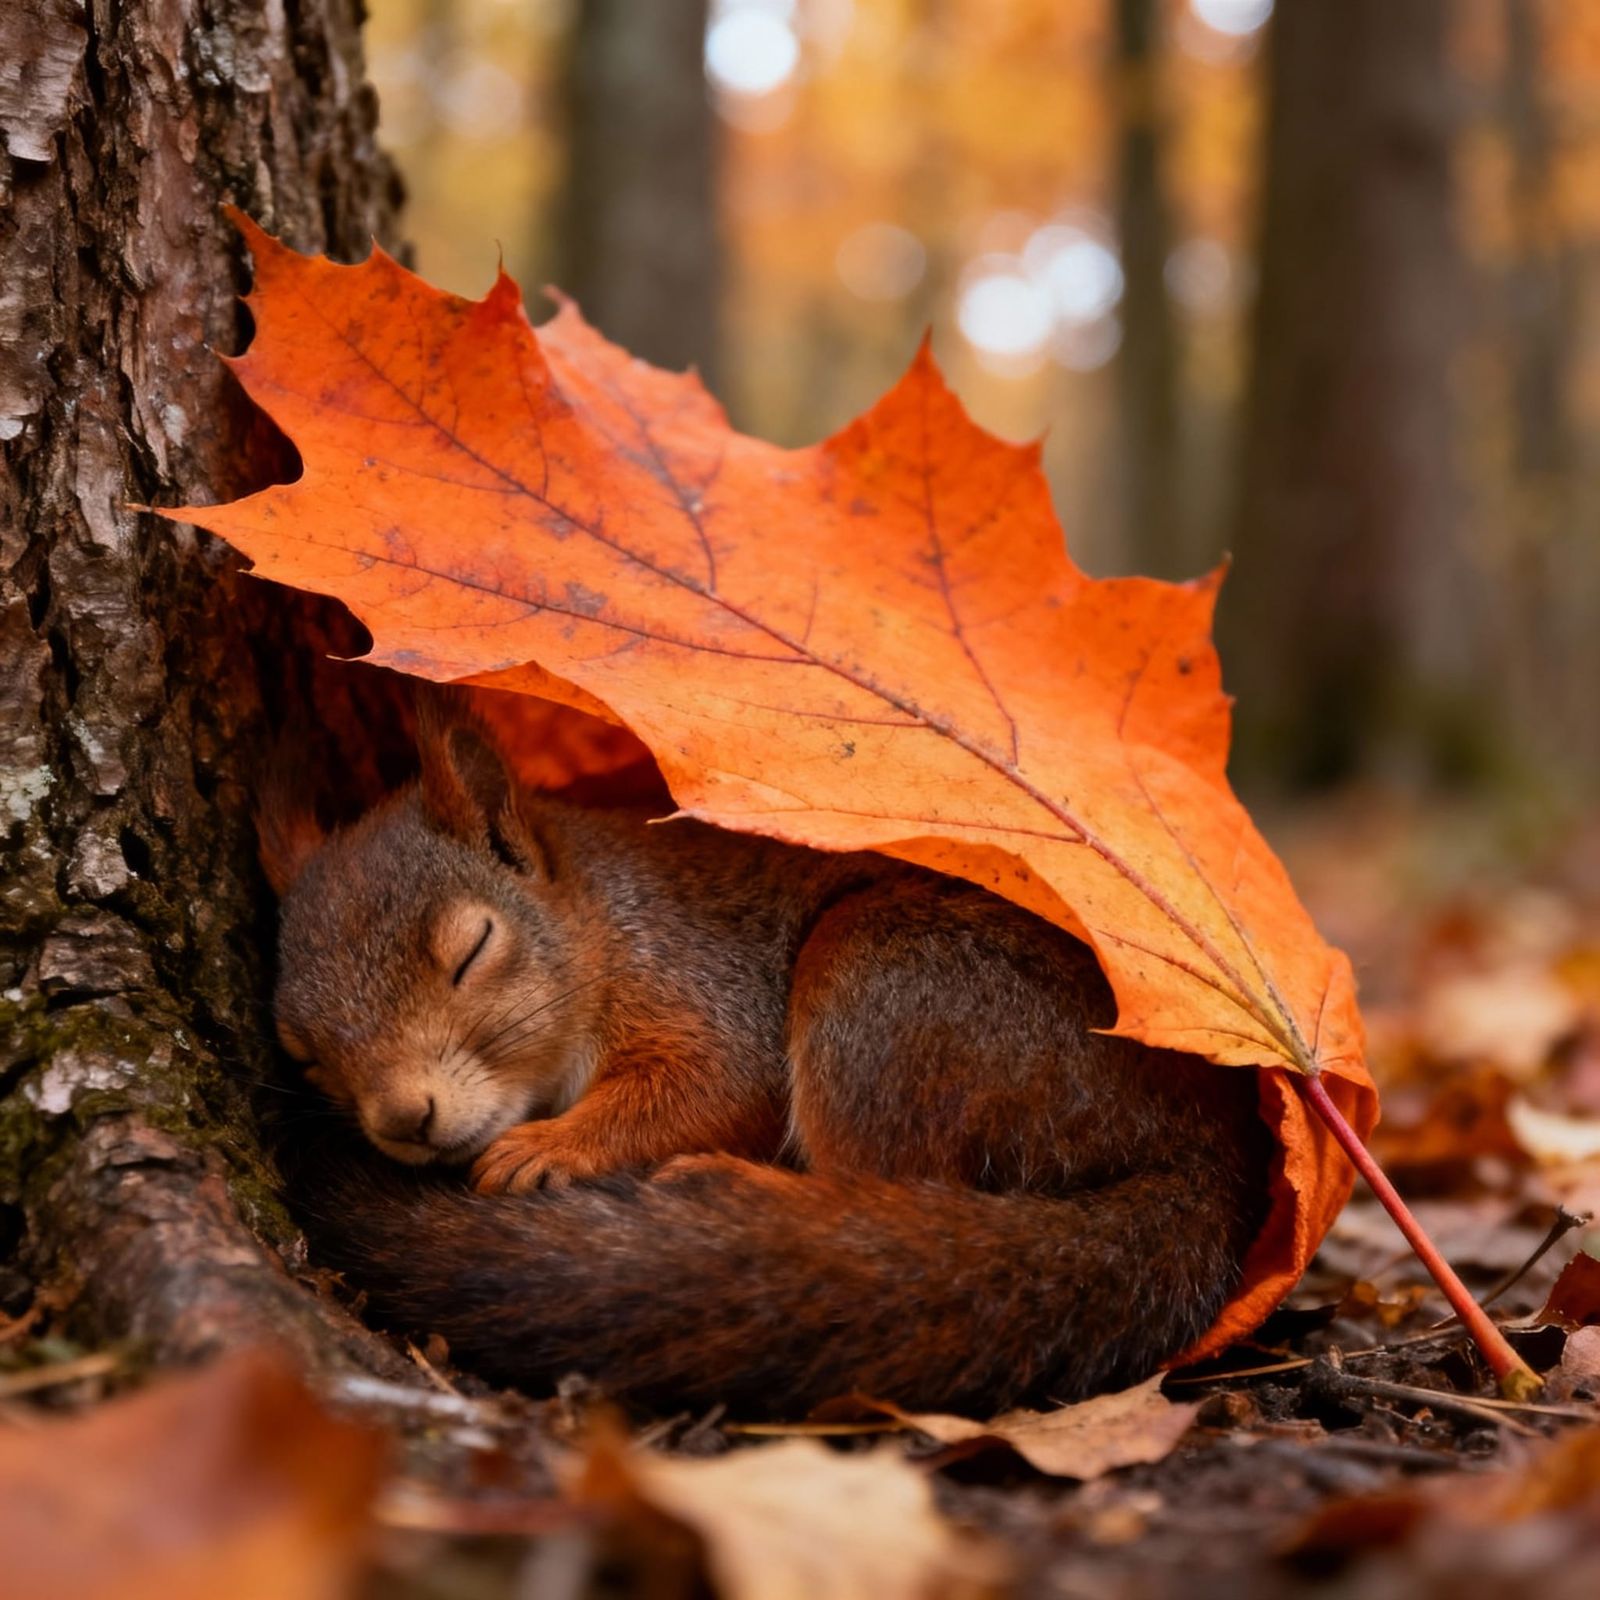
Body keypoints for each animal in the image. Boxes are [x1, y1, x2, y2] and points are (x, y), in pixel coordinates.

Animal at [262, 699, 1271, 1417]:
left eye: (472, 948)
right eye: (303, 1054)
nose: (406, 1118)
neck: (597, 922)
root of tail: (1201, 1156)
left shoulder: (700, 979)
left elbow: (708, 1085)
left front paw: (546, 1149)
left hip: (884, 986)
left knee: (886, 1174)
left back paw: (735, 1188)